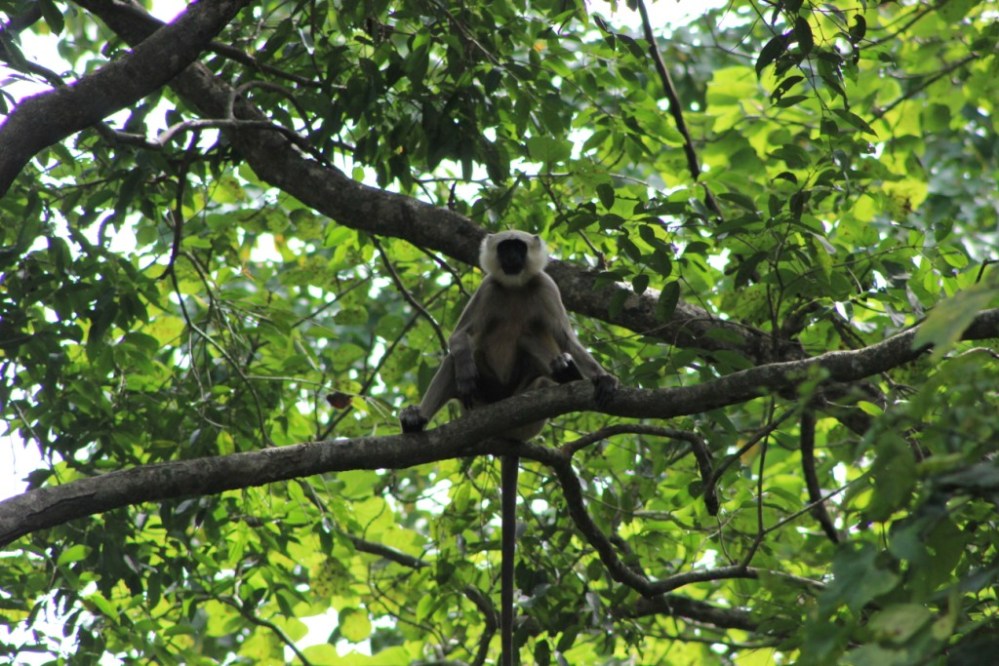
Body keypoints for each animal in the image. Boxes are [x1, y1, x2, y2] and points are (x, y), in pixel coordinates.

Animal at [400, 230, 617, 666]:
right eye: (505, 248)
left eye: (519, 247)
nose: (514, 258)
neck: (516, 287)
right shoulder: (489, 288)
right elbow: (459, 338)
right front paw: (462, 362)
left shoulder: (545, 286)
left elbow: (568, 338)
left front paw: (601, 378)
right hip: (479, 402)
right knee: (456, 361)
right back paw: (419, 418)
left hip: (528, 407)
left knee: (537, 341)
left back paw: (565, 373)